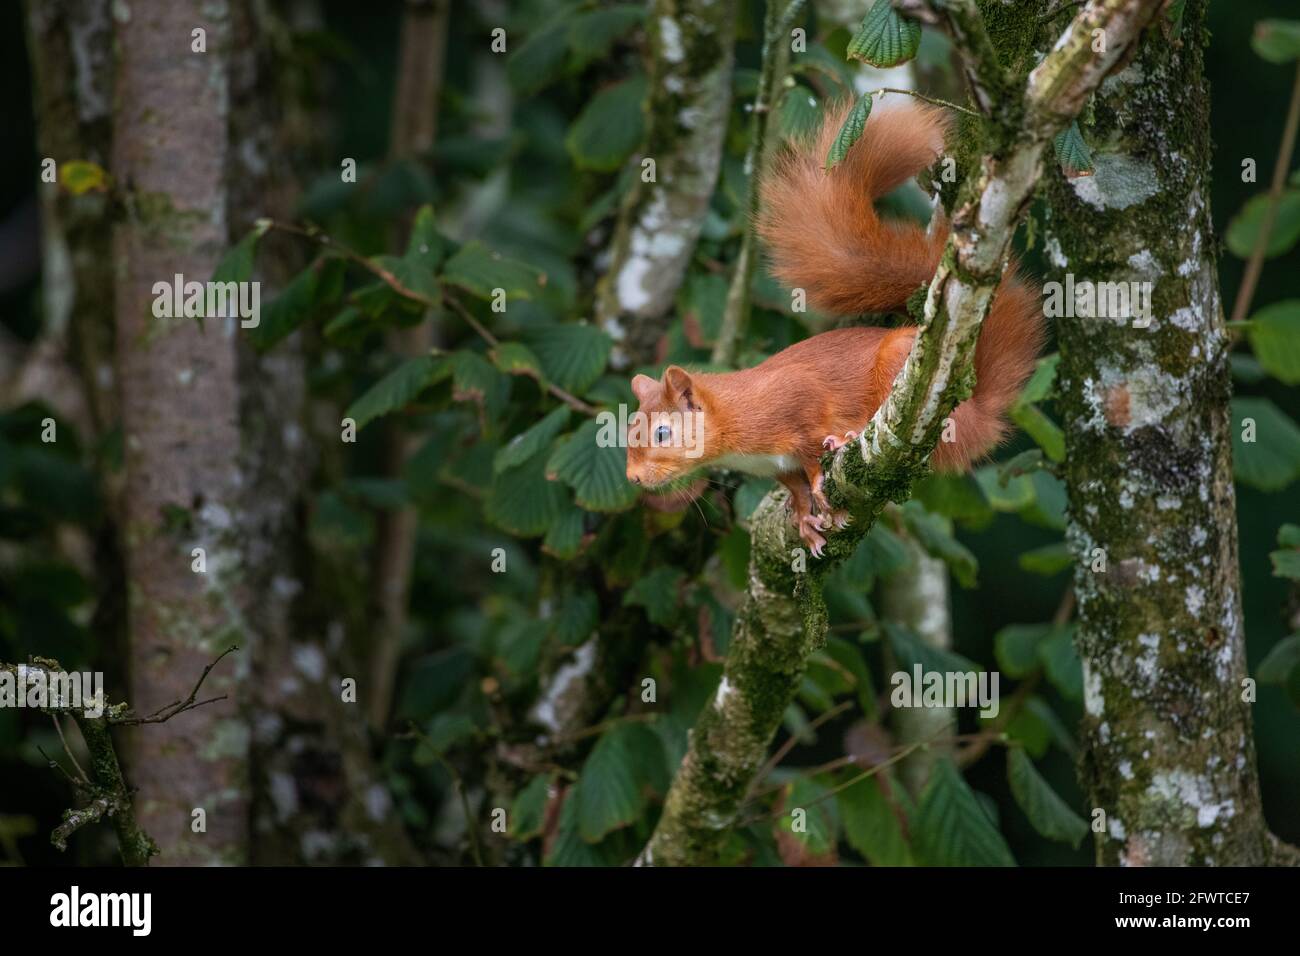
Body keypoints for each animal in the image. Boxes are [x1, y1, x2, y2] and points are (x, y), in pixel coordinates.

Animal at [621, 98, 1045, 556]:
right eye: (630, 429)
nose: (633, 479)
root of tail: (975, 407)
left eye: (663, 432)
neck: (736, 419)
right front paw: (804, 517)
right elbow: (793, 485)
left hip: (903, 374)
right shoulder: (775, 466)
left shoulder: (796, 403)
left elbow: (811, 448)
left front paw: (822, 480)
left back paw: (850, 438)